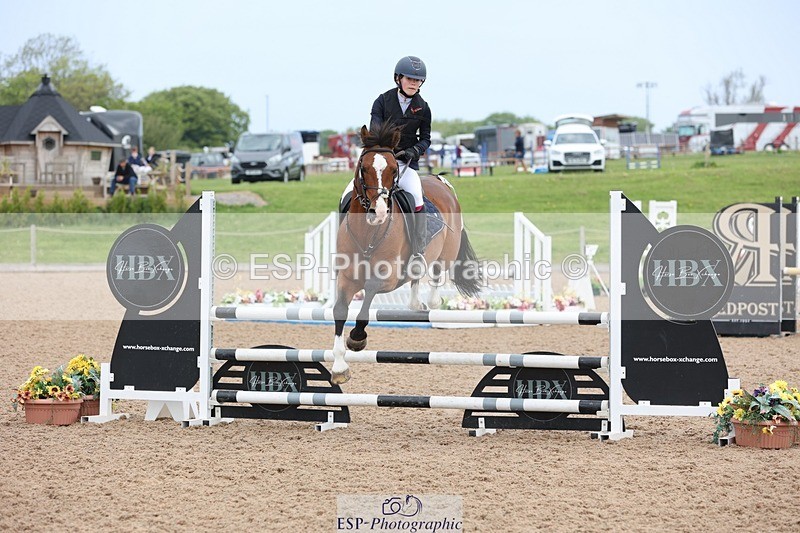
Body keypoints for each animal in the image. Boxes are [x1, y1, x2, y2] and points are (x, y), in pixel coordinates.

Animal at [331, 122, 482, 384]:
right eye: (363, 167)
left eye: (393, 170)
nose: (379, 211)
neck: (367, 233)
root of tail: (440, 180)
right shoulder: (346, 278)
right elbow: (339, 310)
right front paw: (339, 367)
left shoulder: (387, 278)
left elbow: (369, 292)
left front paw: (357, 338)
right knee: (417, 277)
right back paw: (414, 303)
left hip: (446, 255)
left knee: (436, 275)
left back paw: (430, 301)